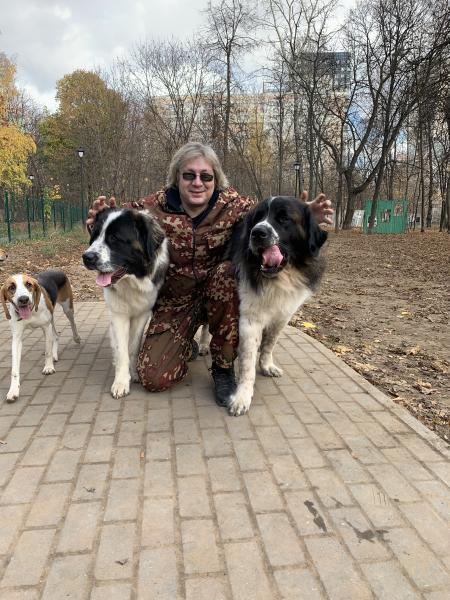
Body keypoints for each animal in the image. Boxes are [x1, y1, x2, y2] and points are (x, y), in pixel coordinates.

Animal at [1, 270, 80, 403]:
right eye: (11, 287)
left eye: (29, 284)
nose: (24, 299)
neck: (31, 311)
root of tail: (57, 269)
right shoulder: (16, 338)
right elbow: (14, 369)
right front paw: (13, 390)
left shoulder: (46, 327)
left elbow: (47, 351)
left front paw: (48, 367)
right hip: (52, 316)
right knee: (56, 335)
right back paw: (55, 355)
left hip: (67, 308)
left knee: (72, 323)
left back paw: (76, 338)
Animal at [83, 208, 169, 398]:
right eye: (95, 236)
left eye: (114, 238)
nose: (86, 257)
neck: (132, 281)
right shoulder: (118, 315)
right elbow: (122, 350)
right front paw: (121, 381)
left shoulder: (142, 314)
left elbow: (133, 346)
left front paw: (134, 373)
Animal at [228, 196, 328, 416]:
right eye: (258, 217)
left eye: (284, 218)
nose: (257, 232)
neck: (280, 278)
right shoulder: (250, 320)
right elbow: (247, 363)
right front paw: (242, 396)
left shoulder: (283, 316)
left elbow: (269, 344)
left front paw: (266, 365)